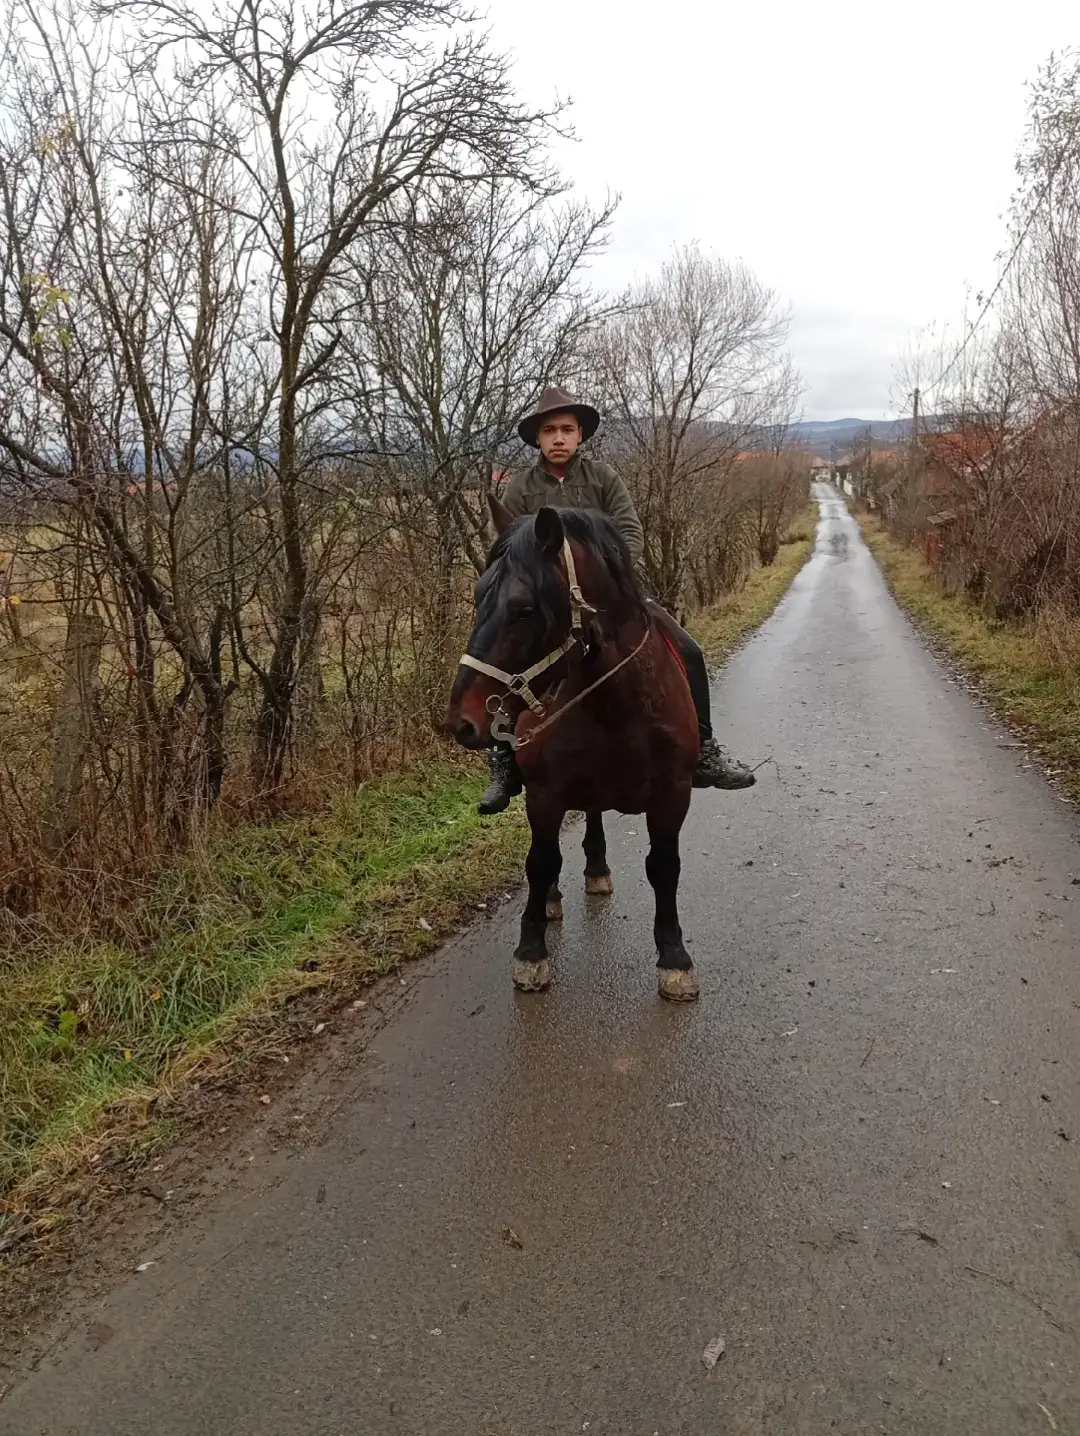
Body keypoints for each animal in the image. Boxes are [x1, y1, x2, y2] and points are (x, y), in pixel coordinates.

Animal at [445, 497, 702, 1001]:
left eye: (525, 609)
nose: (461, 723)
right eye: (478, 595)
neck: (616, 707)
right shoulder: (545, 794)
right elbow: (540, 861)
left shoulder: (673, 793)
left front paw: (674, 958)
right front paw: (531, 952)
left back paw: (596, 869)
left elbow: (664, 867)